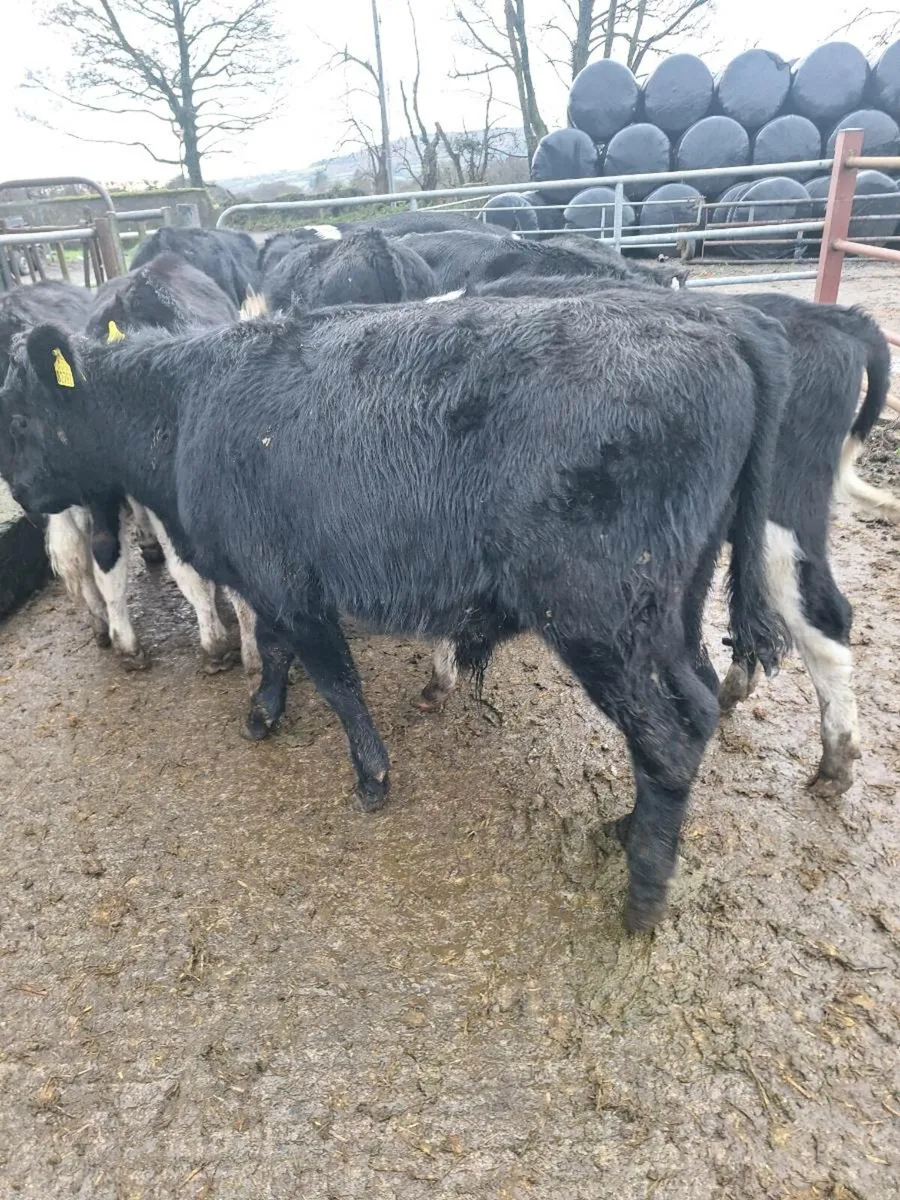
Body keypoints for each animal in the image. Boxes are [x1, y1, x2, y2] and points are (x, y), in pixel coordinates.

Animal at [0, 290, 790, 932]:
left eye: (19, 416)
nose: (19, 492)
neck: (188, 404)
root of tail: (716, 326)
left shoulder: (290, 583)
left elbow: (337, 681)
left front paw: (371, 776)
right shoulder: (272, 579)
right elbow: (281, 651)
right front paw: (264, 713)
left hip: (602, 619)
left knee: (664, 739)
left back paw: (642, 895)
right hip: (670, 613)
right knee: (695, 707)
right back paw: (625, 829)